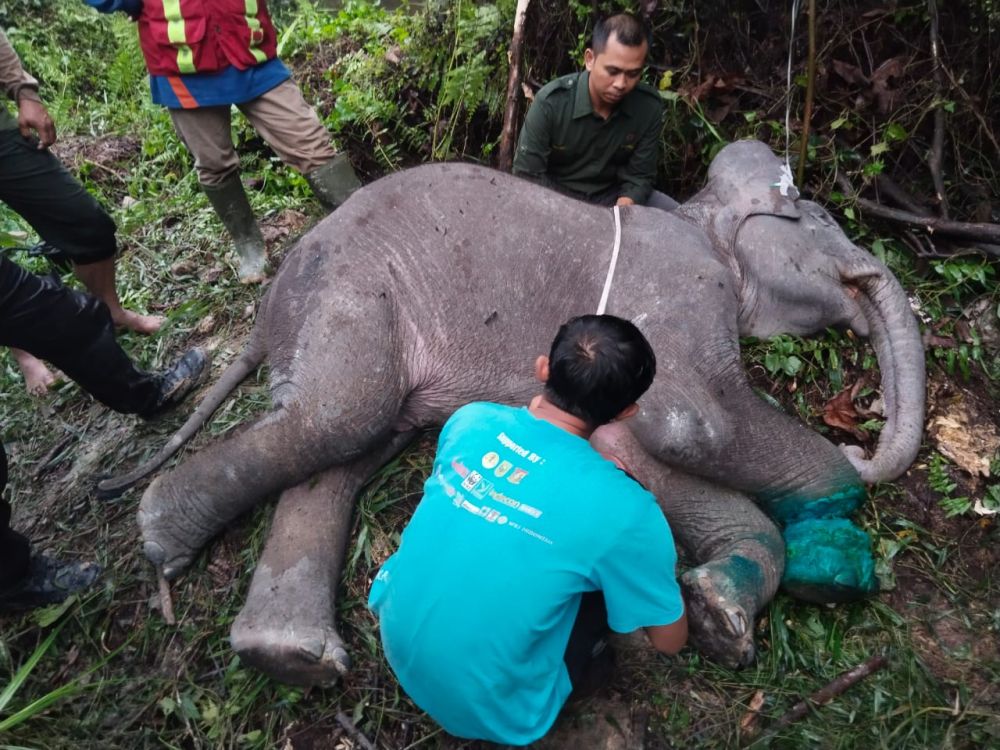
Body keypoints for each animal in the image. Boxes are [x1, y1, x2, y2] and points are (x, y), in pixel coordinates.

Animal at [101, 140, 920, 680]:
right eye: (819, 217)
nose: (861, 439)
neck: (700, 217)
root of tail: (265, 308)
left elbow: (635, 445)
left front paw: (721, 613)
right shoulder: (679, 290)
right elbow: (694, 426)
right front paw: (832, 551)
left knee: (344, 449)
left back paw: (288, 656)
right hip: (349, 292)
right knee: (336, 419)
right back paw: (164, 542)